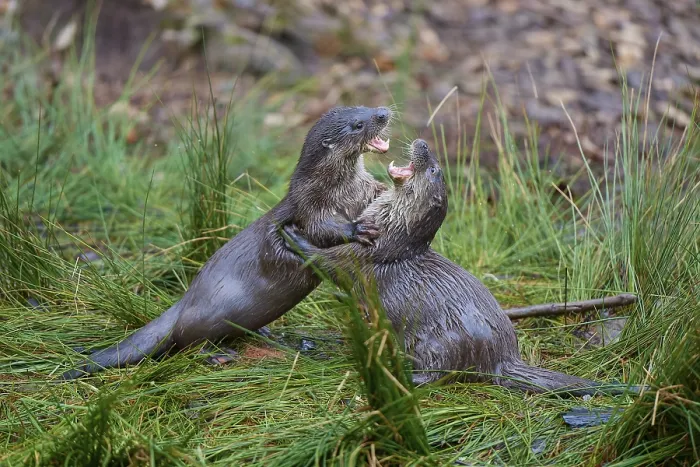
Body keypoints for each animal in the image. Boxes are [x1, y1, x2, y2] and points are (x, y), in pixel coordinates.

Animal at [61, 106, 393, 380]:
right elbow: (321, 229)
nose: (383, 112)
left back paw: (267, 334)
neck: (342, 190)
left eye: (363, 106)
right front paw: (358, 229)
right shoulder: (310, 207)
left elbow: (378, 192)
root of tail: (183, 303)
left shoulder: (362, 190)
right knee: (186, 342)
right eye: (358, 123)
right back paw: (218, 355)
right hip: (212, 317)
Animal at [283, 139, 642, 396]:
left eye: (433, 170)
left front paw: (292, 234)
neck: (390, 232)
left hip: (440, 342)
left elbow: (326, 261)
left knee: (443, 374)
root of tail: (502, 358)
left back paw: (404, 374)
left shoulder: (362, 256)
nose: (423, 143)